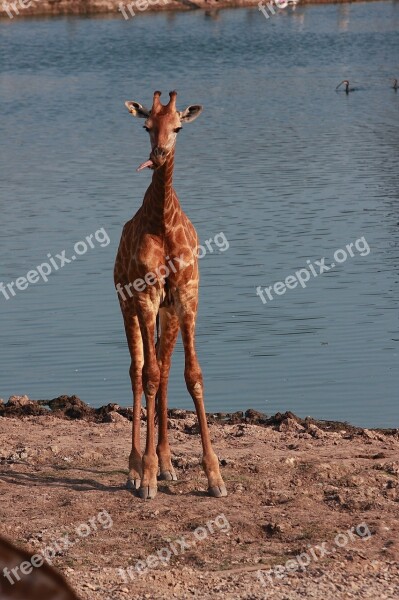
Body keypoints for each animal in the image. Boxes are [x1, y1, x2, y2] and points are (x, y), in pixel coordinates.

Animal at [115, 90, 228, 502]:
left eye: (178, 127)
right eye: (146, 126)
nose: (159, 153)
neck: (163, 221)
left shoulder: (186, 296)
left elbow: (191, 374)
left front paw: (214, 477)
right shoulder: (146, 295)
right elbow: (146, 374)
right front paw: (146, 477)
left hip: (169, 314)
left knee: (162, 369)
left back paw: (166, 464)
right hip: (126, 304)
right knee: (138, 370)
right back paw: (136, 468)